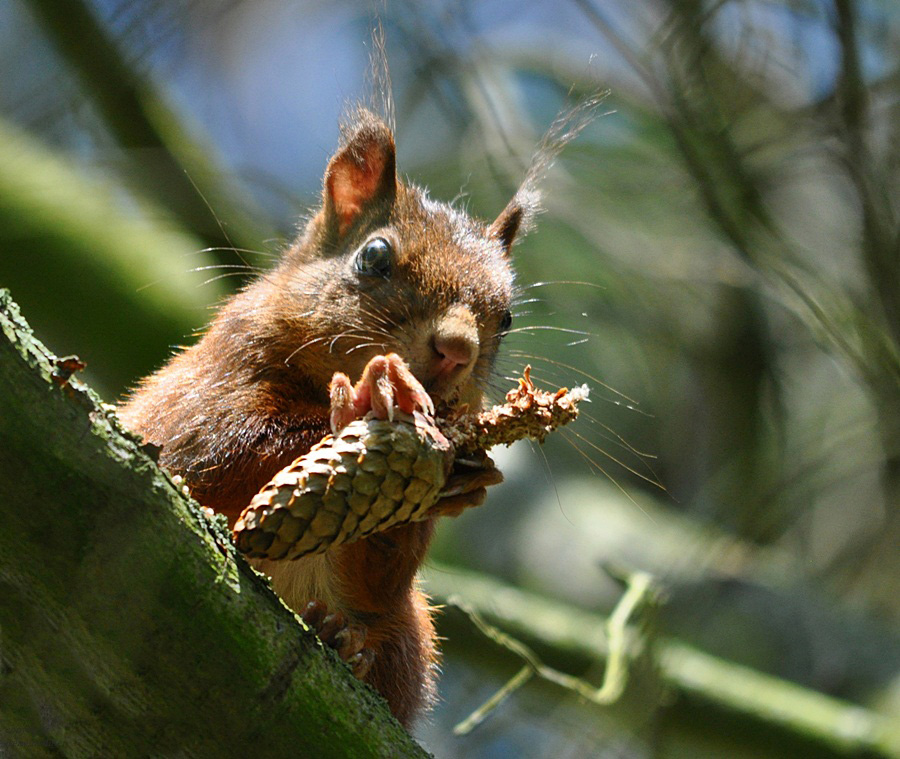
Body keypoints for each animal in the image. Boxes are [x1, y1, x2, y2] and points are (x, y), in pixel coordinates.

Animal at [118, 105, 528, 724]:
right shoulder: (205, 392)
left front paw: (465, 475)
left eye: (505, 318)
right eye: (374, 257)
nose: (458, 348)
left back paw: (340, 640)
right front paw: (356, 407)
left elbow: (378, 582)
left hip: (409, 640)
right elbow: (216, 453)